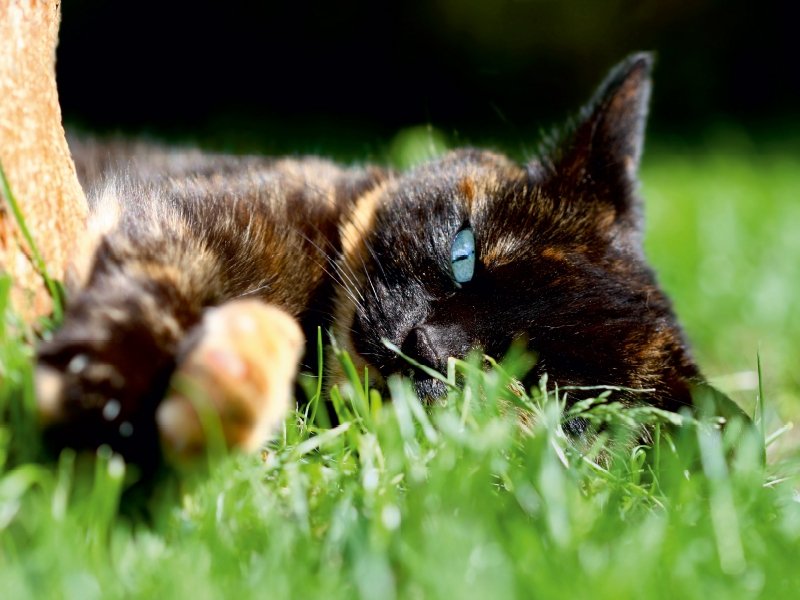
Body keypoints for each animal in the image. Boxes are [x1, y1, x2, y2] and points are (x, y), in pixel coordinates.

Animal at [34, 52, 724, 464]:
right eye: (464, 253)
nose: (427, 344)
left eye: (540, 385)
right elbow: (156, 287)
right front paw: (108, 386)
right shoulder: (195, 223)